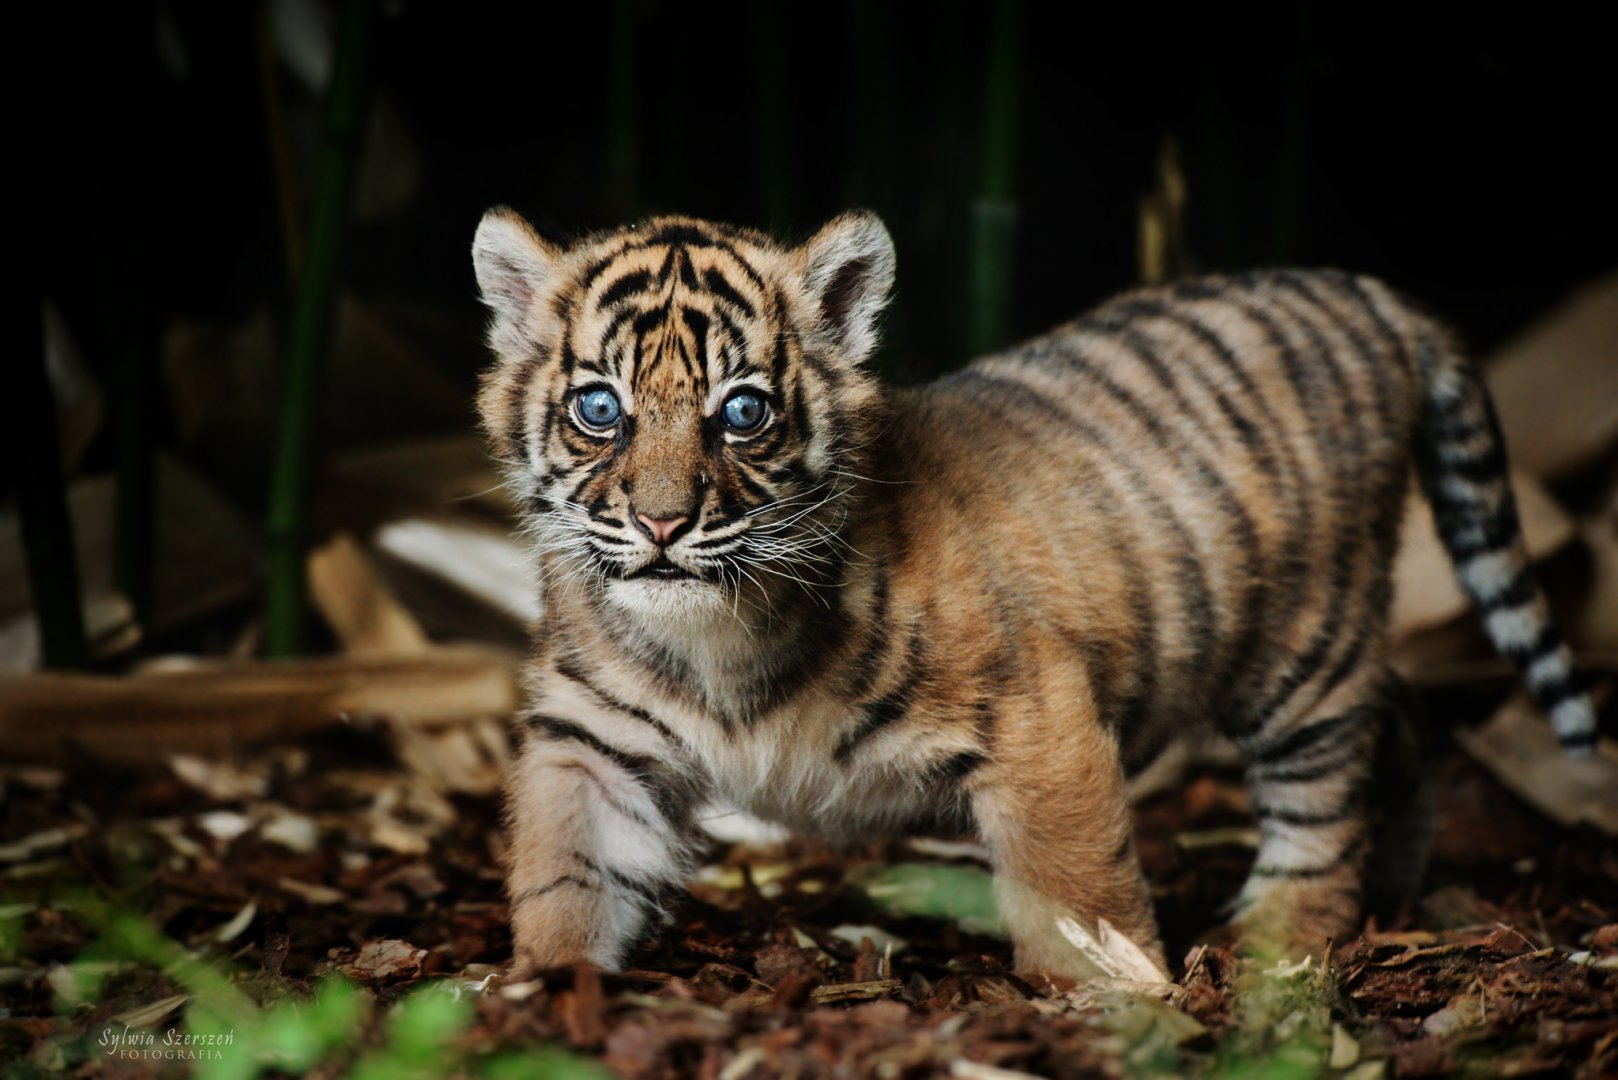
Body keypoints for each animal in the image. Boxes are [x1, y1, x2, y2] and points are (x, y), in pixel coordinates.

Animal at [469, 206, 1597, 986]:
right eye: (601, 409)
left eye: (741, 413)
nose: (662, 524)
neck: (717, 640)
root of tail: (1372, 295)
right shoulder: (592, 740)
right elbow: (567, 869)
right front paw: (543, 993)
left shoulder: (1039, 714)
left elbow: (1076, 886)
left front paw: (1120, 1000)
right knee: (1395, 722)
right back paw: (1393, 892)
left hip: (1302, 646)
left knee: (1324, 792)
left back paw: (1276, 938)